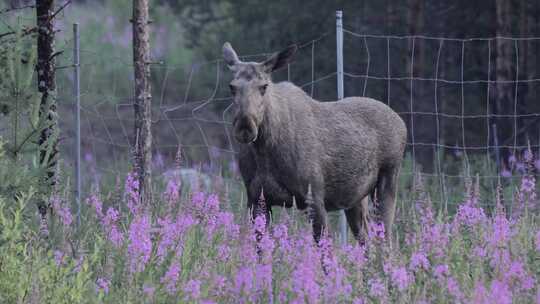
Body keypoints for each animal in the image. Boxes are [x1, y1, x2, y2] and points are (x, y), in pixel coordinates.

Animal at [223, 41, 404, 243]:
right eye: (232, 87)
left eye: (264, 86)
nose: (245, 126)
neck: (264, 150)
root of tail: (401, 121)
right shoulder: (256, 198)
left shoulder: (314, 197)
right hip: (356, 198)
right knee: (366, 239)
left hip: (388, 181)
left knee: (386, 239)